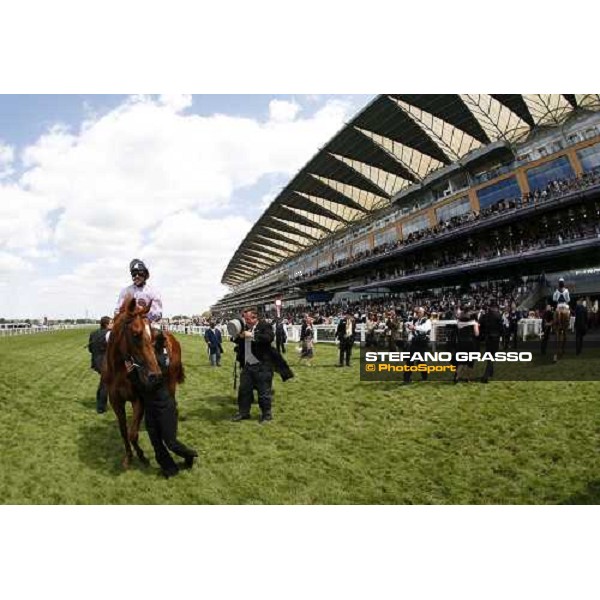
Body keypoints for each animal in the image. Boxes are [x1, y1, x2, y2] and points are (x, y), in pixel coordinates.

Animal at [103, 296, 184, 468]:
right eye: (135, 334)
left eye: (150, 334)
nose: (155, 374)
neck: (121, 372)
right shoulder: (116, 401)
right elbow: (124, 431)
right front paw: (128, 456)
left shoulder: (138, 400)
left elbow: (133, 433)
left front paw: (141, 456)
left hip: (171, 380)